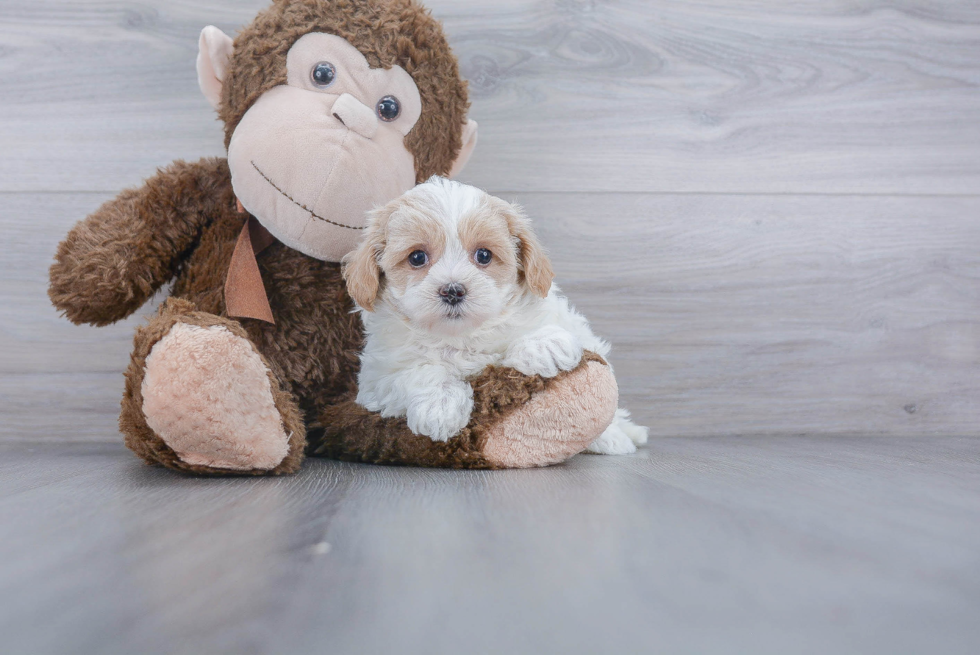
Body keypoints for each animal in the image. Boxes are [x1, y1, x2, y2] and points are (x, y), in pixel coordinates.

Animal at [340, 178, 648, 456]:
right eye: (417, 258)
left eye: (484, 255)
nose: (453, 290)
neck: (462, 337)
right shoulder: (376, 381)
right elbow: (419, 372)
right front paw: (440, 407)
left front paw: (544, 346)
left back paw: (615, 438)